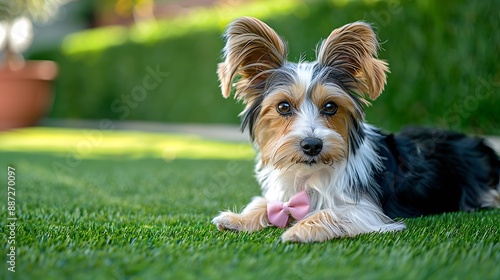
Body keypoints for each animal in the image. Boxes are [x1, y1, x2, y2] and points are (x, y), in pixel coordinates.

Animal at [211, 17, 500, 243]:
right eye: (283, 107)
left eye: (330, 107)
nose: (312, 145)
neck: (311, 172)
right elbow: (265, 202)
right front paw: (238, 218)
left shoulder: (369, 212)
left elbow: (333, 212)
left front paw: (299, 230)